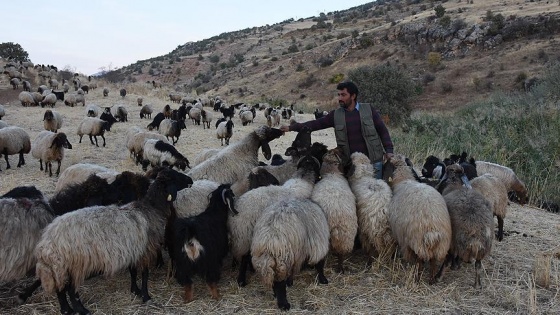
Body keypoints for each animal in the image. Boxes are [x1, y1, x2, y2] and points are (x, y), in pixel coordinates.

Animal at [33, 170, 179, 315]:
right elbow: (144, 274)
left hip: (61, 266)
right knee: (71, 290)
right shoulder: (145, 251)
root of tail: (48, 242)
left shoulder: (133, 249)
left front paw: (135, 291)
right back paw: (82, 310)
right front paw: (146, 296)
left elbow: (133, 272)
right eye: (174, 179)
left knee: (61, 288)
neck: (150, 208)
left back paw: (66, 310)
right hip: (76, 264)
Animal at [382, 155, 452, 284]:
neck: (403, 180)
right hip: (441, 245)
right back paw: (431, 280)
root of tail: (432, 231)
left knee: (419, 260)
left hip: (416, 242)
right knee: (433, 262)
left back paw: (417, 278)